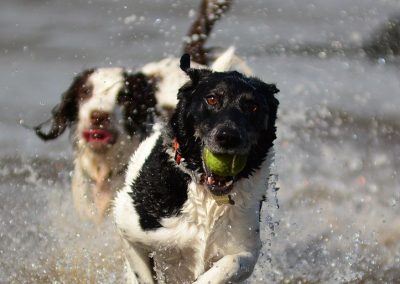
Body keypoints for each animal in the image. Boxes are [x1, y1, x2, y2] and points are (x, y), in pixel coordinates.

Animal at [114, 54, 280, 282]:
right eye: (212, 99)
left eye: (253, 107)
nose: (228, 136)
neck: (208, 195)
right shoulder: (129, 227)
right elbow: (143, 274)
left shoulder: (245, 248)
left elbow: (230, 263)